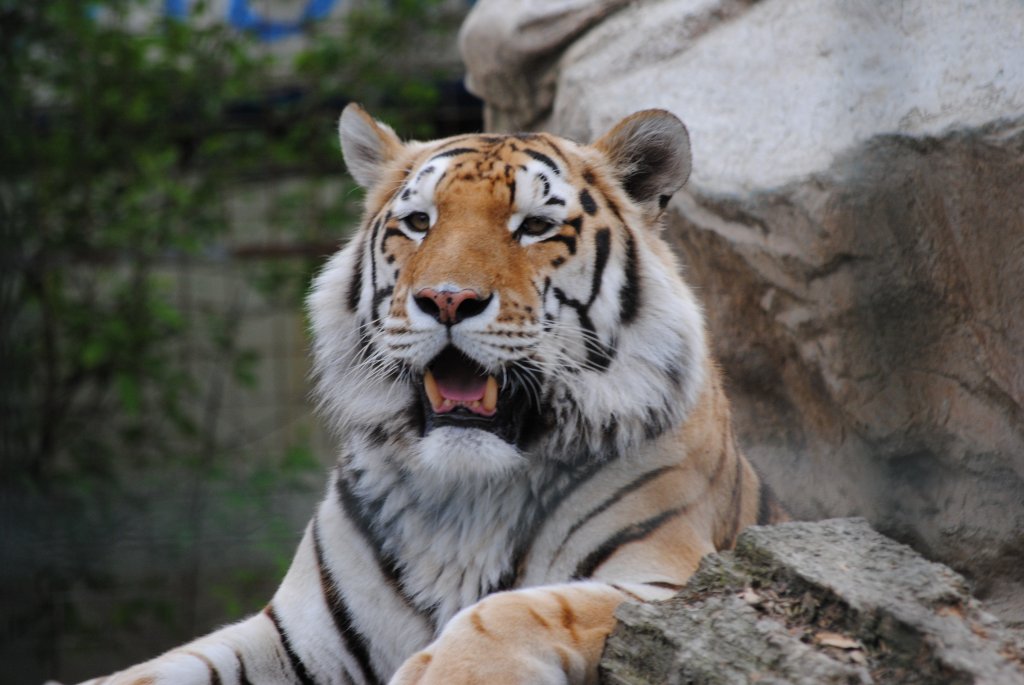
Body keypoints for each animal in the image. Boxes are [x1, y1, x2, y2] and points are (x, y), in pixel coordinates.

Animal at [74, 102, 782, 683]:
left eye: (534, 226)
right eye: (418, 222)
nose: (446, 300)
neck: (467, 497)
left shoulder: (670, 583)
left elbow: (509, 611)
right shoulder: (295, 633)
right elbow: (150, 672)